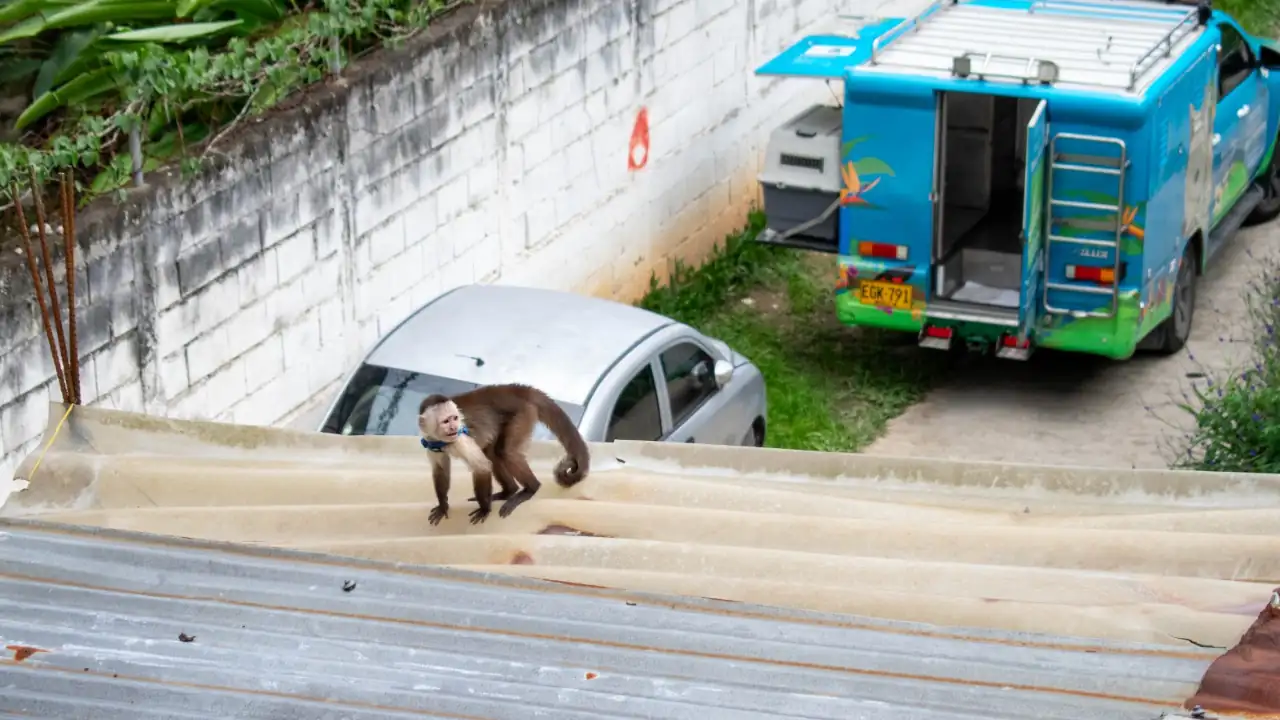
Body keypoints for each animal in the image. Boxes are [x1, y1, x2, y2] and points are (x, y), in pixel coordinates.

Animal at [417, 383, 591, 526]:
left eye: (454, 418)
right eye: (446, 421)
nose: (453, 427)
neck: (444, 440)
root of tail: (515, 390)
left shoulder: (460, 437)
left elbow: (482, 466)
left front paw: (485, 509)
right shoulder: (431, 442)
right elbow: (440, 470)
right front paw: (442, 506)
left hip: (522, 413)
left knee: (505, 452)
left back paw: (530, 489)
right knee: (492, 453)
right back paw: (508, 492)